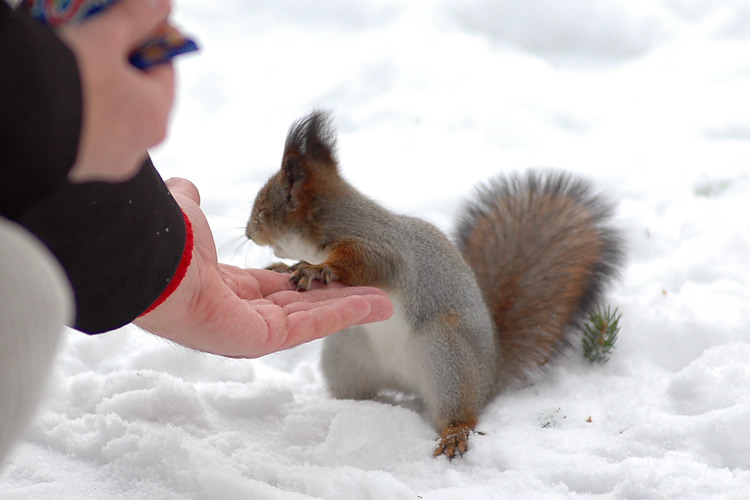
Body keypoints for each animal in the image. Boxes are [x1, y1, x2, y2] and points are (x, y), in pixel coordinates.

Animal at [245, 111, 624, 458]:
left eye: (262, 211)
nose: (248, 232)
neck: (334, 220)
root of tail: (488, 377)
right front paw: (281, 266)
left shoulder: (381, 248)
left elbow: (362, 264)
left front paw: (315, 270)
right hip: (346, 352)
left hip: (446, 353)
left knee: (460, 413)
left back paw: (454, 434)